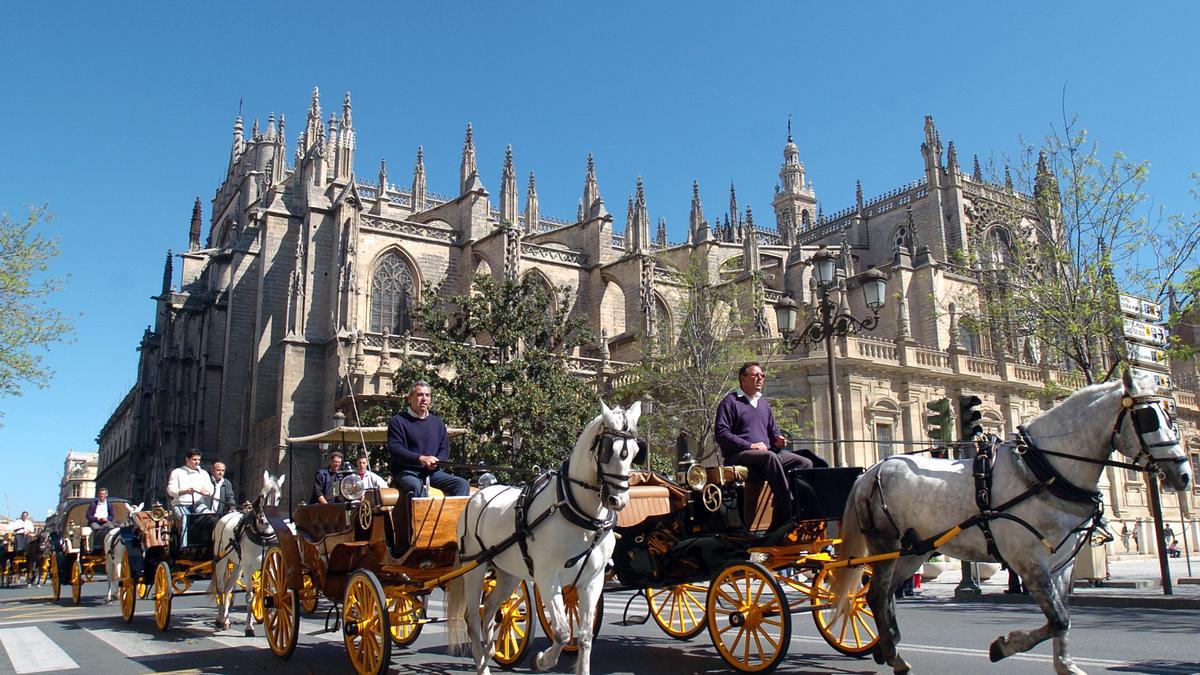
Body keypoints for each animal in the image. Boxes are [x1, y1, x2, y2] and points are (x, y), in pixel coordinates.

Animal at [210, 470, 284, 634]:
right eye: (262, 495)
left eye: (278, 497)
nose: (265, 521)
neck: (262, 536)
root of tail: (228, 514)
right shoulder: (249, 568)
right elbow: (250, 596)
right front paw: (249, 627)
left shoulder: (269, 566)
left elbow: (270, 592)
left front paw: (273, 622)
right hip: (222, 559)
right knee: (220, 588)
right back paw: (220, 619)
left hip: (238, 565)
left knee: (228, 588)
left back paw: (225, 620)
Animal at [446, 398, 643, 672]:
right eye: (606, 451)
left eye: (635, 452)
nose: (618, 501)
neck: (579, 514)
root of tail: (479, 492)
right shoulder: (548, 578)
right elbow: (562, 631)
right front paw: (541, 660)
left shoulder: (592, 580)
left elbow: (584, 636)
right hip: (474, 568)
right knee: (473, 618)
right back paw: (483, 665)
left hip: (508, 573)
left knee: (492, 609)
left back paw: (490, 651)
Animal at [835, 367, 1190, 672]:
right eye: (1147, 417)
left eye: (1171, 419)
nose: (1184, 474)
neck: (1042, 471)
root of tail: (871, 471)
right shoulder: (1029, 561)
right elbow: (1058, 619)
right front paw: (1004, 646)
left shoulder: (1062, 564)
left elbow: (1063, 616)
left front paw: (1065, 665)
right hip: (885, 545)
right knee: (875, 594)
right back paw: (893, 654)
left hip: (914, 551)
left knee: (881, 595)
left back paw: (888, 648)